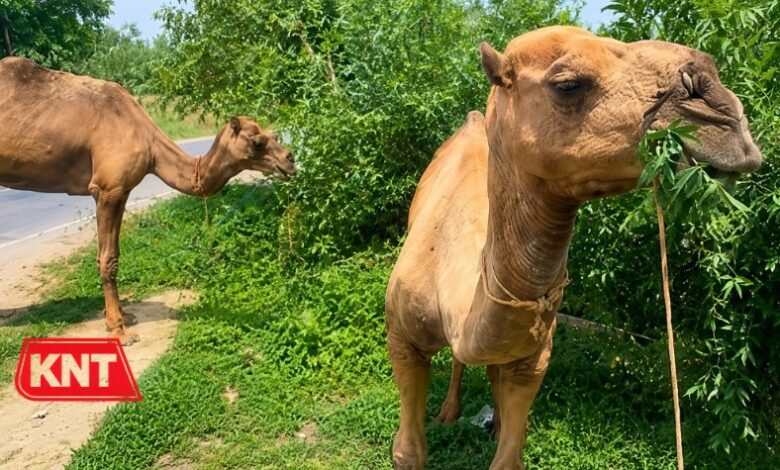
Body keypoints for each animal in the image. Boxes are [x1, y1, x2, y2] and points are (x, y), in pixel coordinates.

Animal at [0, 57, 297, 345]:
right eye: (257, 142)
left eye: (273, 135)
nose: (290, 160)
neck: (151, 146)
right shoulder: (107, 188)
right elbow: (107, 259)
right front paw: (119, 330)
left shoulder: (123, 190)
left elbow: (114, 254)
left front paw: (123, 316)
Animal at [385, 26, 762, 469]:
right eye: (567, 84)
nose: (722, 107)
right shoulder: (400, 338)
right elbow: (408, 451)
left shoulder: (534, 360)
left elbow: (509, 454)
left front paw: (504, 429)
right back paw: (448, 412)